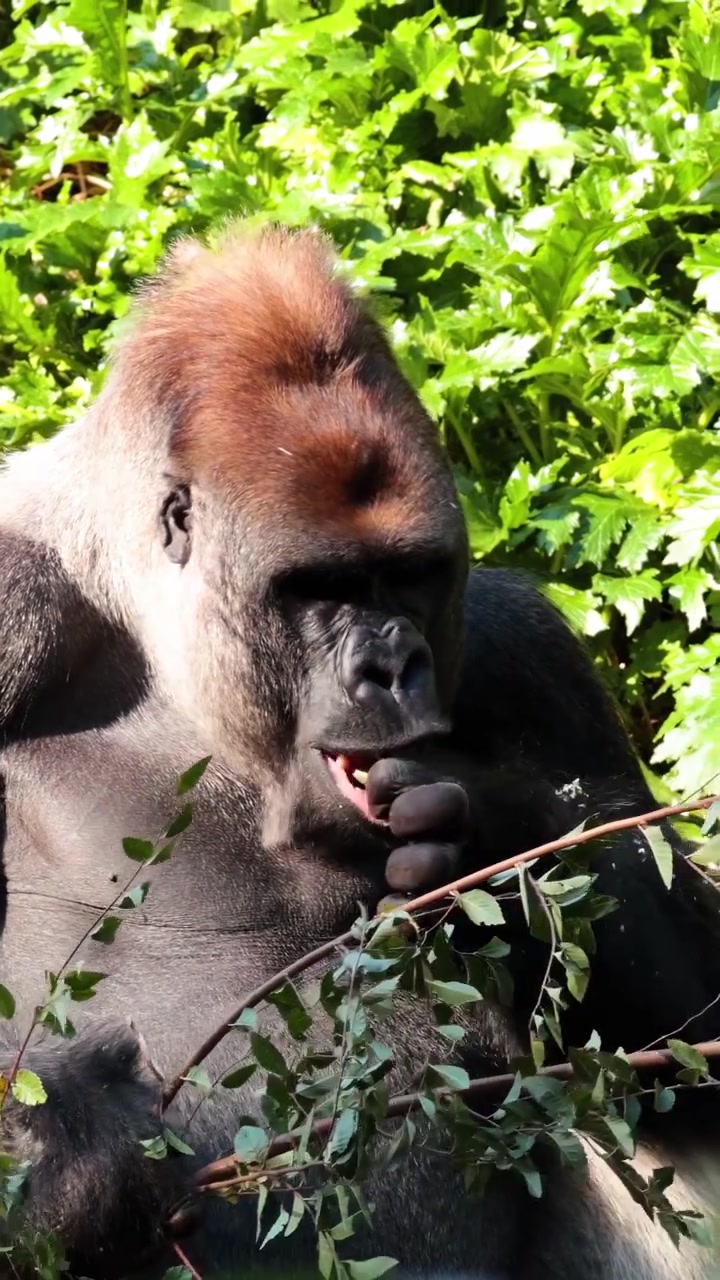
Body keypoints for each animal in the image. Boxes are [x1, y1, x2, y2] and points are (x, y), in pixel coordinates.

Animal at [1, 222, 720, 1280]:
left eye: (411, 575)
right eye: (319, 587)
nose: (394, 667)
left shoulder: (524, 646)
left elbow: (697, 1038)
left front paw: (490, 842)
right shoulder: (15, 603)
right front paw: (77, 1159)